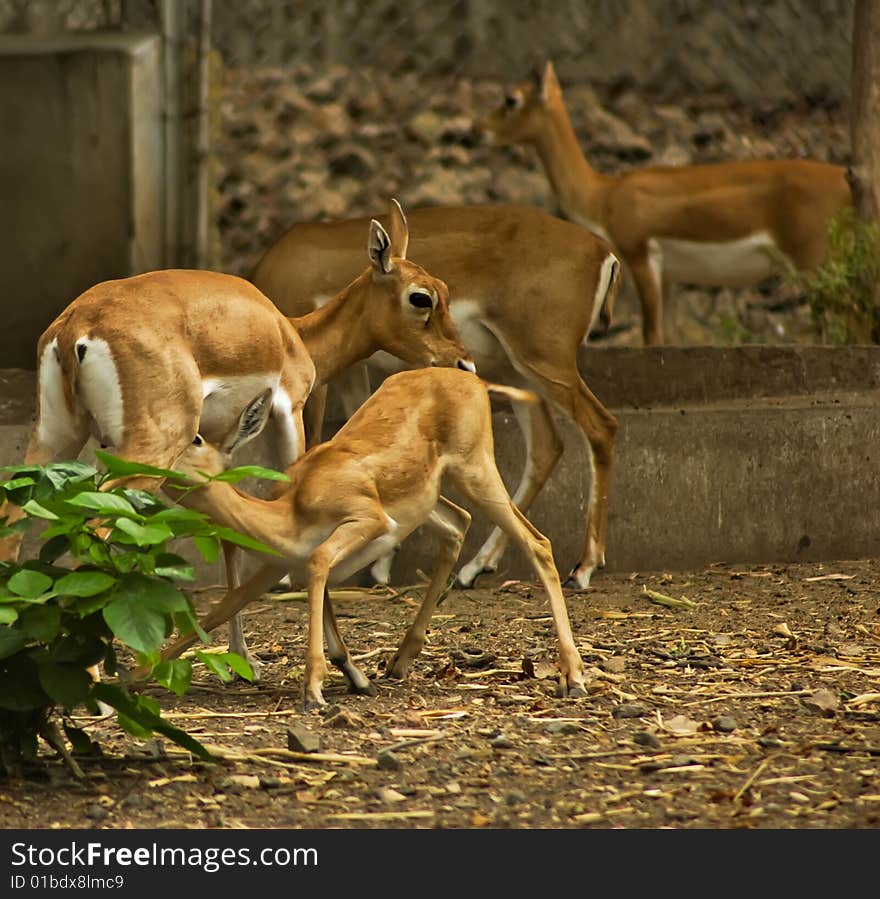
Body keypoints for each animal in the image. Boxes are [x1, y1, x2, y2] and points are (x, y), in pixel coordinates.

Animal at [0, 202, 474, 676]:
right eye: (421, 297)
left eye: (444, 289)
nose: (463, 363)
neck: (292, 335)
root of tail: (77, 326)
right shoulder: (289, 414)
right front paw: (343, 662)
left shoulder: (212, 443)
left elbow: (228, 533)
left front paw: (239, 657)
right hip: (145, 454)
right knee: (92, 531)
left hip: (58, 437)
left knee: (14, 525)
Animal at [139, 370, 592, 712]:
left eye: (196, 438)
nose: (149, 463)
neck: (290, 511)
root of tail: (474, 381)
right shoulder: (275, 567)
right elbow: (223, 608)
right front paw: (132, 679)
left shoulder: (366, 519)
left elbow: (318, 563)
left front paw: (314, 690)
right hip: (431, 499)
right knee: (459, 525)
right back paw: (399, 661)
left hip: (476, 471)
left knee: (537, 543)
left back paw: (574, 677)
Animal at [249, 202, 620, 592]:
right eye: (424, 296)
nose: (463, 361)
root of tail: (601, 250)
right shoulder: (352, 370)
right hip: (520, 374)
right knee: (547, 447)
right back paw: (475, 568)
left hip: (545, 363)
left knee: (600, 427)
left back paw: (583, 568)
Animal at [482, 60, 852, 348]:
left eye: (511, 99)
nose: (479, 129)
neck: (603, 194)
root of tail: (844, 178)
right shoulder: (671, 277)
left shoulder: (640, 255)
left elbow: (651, 336)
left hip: (811, 260)